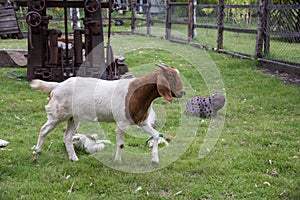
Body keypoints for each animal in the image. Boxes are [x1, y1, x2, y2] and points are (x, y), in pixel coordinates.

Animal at [30, 64, 185, 164]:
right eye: (170, 77)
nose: (182, 93)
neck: (137, 93)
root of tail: (57, 85)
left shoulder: (142, 122)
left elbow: (156, 135)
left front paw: (155, 159)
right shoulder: (121, 122)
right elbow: (121, 144)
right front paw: (117, 160)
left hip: (72, 118)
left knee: (67, 137)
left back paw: (73, 158)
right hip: (57, 114)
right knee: (44, 129)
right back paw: (37, 150)